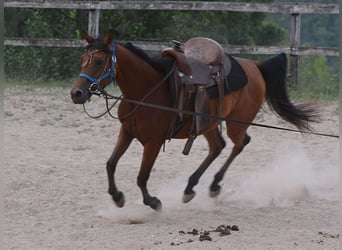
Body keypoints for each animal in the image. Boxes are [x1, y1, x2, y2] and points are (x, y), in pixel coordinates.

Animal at [71, 31, 316, 211]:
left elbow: (142, 176)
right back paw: (190, 188)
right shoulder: (127, 132)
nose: (77, 93)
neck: (146, 92)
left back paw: (214, 184)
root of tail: (255, 66)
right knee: (218, 147)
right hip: (208, 123)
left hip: (237, 123)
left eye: (99, 61)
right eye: (82, 60)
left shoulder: (153, 143)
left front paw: (153, 202)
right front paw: (117, 196)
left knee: (239, 143)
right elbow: (110, 164)